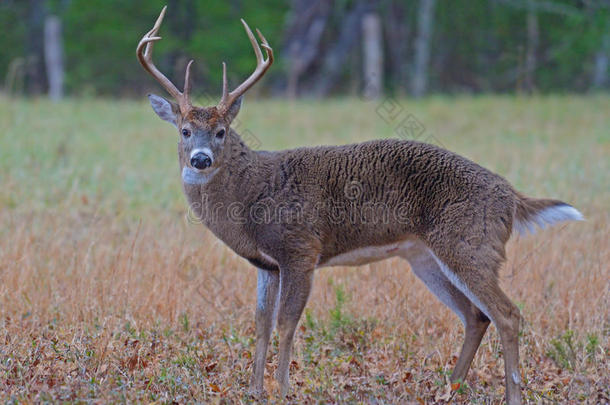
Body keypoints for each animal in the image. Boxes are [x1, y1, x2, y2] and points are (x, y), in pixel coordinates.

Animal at [137, 7, 580, 404]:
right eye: (185, 130)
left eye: (222, 131)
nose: (200, 159)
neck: (252, 196)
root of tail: (511, 196)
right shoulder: (267, 263)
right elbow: (261, 324)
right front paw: (253, 391)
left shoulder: (301, 249)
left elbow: (286, 323)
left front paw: (282, 390)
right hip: (426, 256)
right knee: (476, 316)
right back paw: (447, 391)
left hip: (470, 243)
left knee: (507, 314)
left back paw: (511, 395)